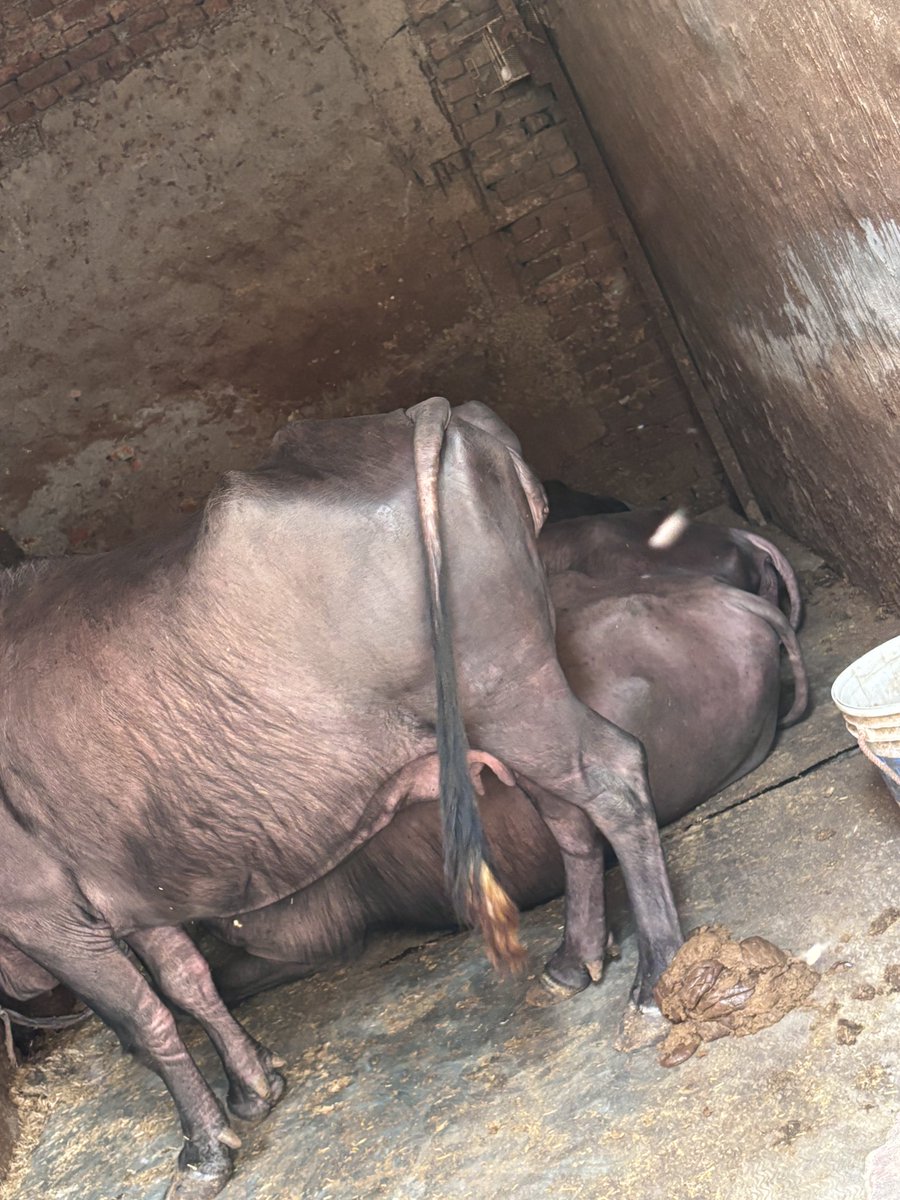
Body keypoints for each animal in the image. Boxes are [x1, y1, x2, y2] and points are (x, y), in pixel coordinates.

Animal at [0, 399, 682, 1198]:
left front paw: (203, 1149)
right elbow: (188, 983)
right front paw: (253, 1086)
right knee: (570, 818)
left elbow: (141, 1022)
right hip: (507, 713)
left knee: (615, 777)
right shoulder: (132, 888)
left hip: (513, 695)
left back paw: (655, 984)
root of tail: (425, 414)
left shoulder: (43, 911)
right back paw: (575, 960)